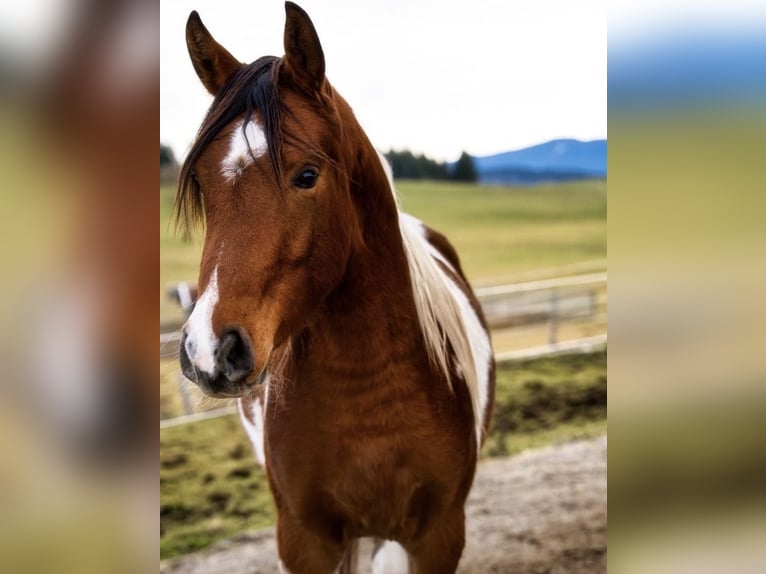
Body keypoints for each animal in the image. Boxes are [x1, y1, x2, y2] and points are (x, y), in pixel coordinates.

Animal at [176, 3, 495, 572]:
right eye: (202, 185)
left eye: (307, 175)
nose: (209, 350)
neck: (366, 389)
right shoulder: (305, 539)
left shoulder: (438, 535)